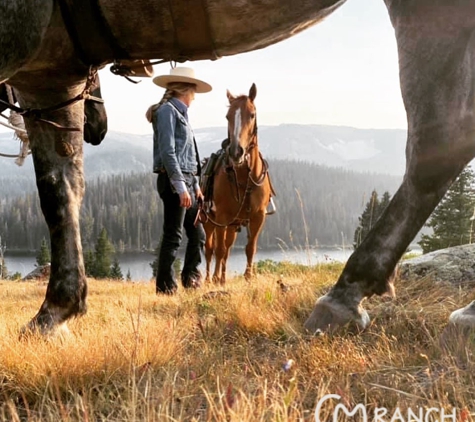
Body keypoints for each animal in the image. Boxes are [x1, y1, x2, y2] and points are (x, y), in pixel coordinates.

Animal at [203, 83, 274, 286]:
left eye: (251, 114)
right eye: (228, 116)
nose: (236, 152)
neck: (245, 179)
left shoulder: (258, 217)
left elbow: (250, 247)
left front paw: (248, 277)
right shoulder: (221, 217)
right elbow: (218, 250)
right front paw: (216, 279)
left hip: (233, 225)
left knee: (226, 248)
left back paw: (222, 277)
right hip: (209, 222)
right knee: (210, 249)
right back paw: (210, 278)